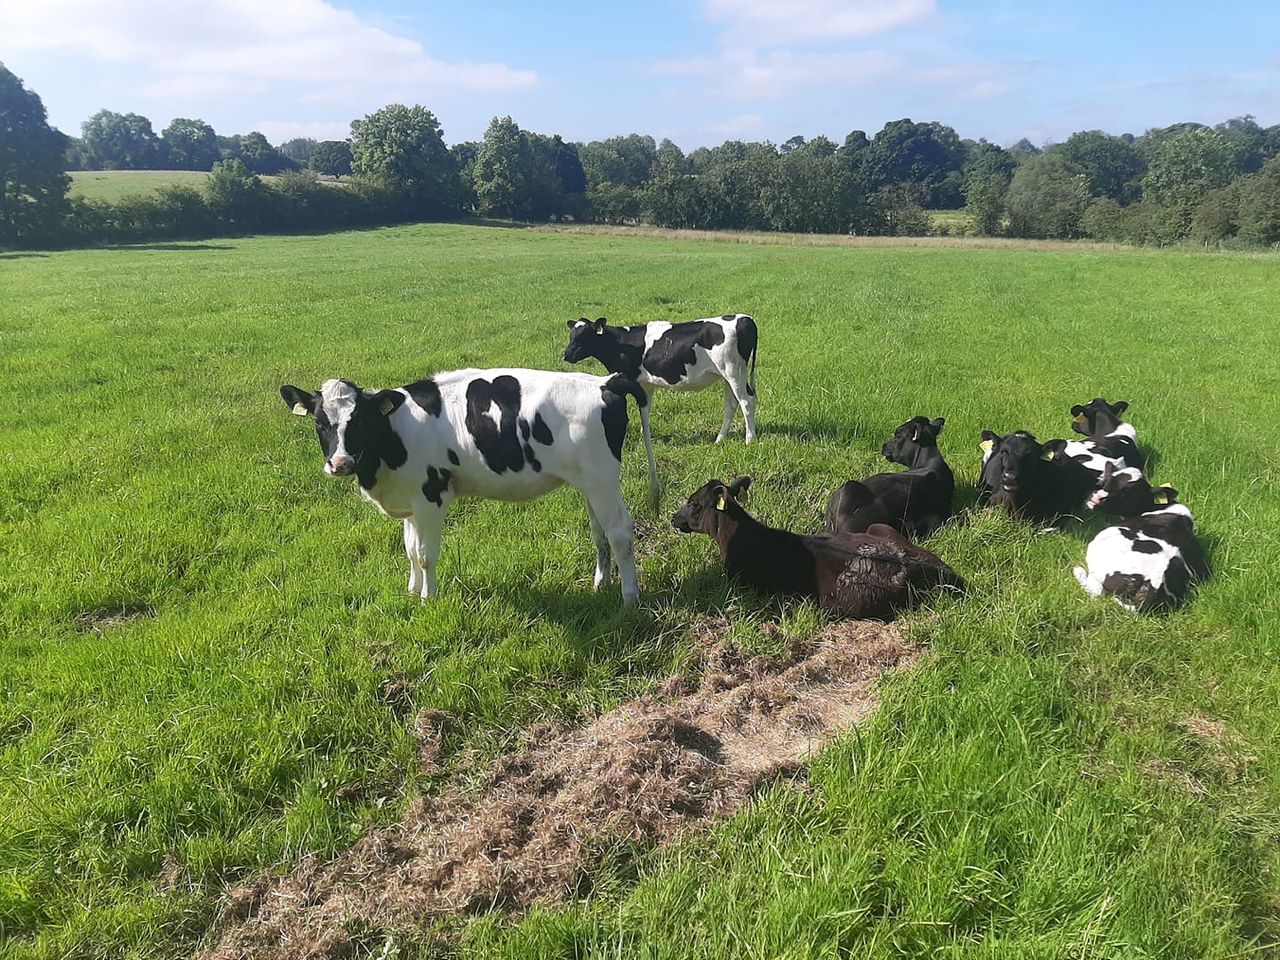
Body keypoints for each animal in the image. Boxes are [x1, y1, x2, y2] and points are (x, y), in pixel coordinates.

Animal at [280, 369, 660, 605]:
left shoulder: (431, 498)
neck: (395, 433)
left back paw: (629, 598)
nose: (340, 463)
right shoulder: (410, 498)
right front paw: (411, 591)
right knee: (600, 533)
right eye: (320, 423)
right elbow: (409, 549)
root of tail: (605, 382)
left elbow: (425, 554)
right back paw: (601, 584)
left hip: (603, 480)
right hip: (589, 482)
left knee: (620, 532)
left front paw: (427, 598)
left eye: (358, 419)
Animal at [561, 314, 758, 443]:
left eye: (585, 334)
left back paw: (750, 439)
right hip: (728, 375)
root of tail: (744, 318)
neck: (620, 344)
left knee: (746, 401)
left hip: (734, 371)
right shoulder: (646, 385)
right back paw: (719, 439)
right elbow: (644, 411)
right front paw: (645, 436)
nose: (566, 355)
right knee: (731, 405)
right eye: (571, 335)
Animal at [672, 476, 964, 620]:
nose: (674, 518)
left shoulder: (742, 582)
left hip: (836, 602)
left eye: (694, 503)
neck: (736, 534)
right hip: (880, 528)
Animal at [1072, 463, 1208, 612]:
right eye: (1106, 481)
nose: (1096, 497)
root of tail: (1155, 581)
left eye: (1128, 492)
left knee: (1096, 592)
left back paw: (1078, 571)